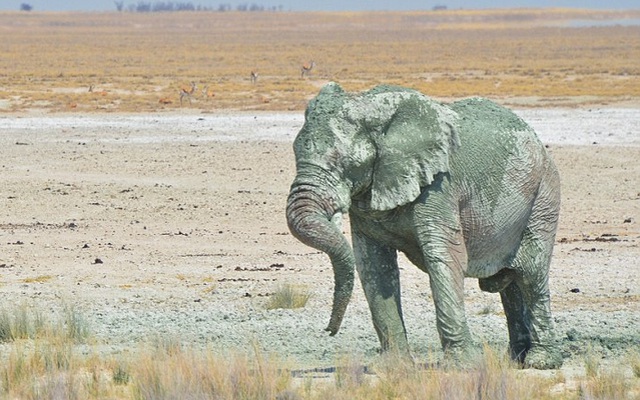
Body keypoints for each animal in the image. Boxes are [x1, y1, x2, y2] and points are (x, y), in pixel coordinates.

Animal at [284, 83, 560, 370]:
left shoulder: (439, 187)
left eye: (346, 162)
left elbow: (445, 258)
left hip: (544, 195)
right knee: (511, 284)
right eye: (295, 152)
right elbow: (375, 266)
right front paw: (392, 367)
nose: (329, 331)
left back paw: (540, 362)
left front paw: (462, 367)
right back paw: (515, 360)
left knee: (530, 275)